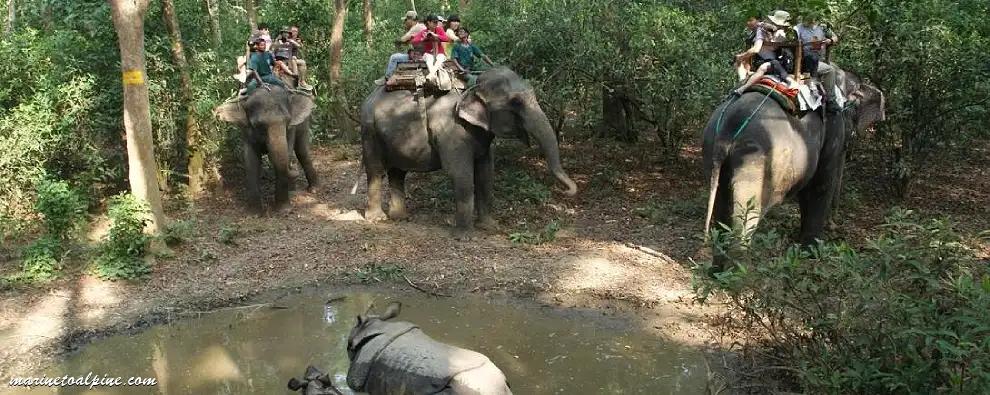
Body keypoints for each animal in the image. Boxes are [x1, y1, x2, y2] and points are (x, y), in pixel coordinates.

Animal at [216, 84, 318, 213]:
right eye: (258, 125)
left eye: (288, 121)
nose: (294, 169)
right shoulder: (245, 131)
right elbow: (251, 160)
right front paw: (255, 212)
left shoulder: (291, 129)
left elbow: (287, 152)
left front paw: (284, 210)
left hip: (304, 122)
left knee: (302, 151)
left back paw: (312, 189)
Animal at [360, 67, 576, 238]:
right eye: (515, 102)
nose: (567, 191)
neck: (472, 86)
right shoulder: (451, 129)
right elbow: (460, 173)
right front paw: (465, 237)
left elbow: (486, 173)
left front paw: (489, 227)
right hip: (369, 131)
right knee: (376, 170)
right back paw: (377, 219)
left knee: (398, 172)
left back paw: (400, 217)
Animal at [700, 68, 888, 266]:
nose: (834, 225)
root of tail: (725, 134)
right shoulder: (833, 129)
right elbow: (820, 185)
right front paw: (812, 252)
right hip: (754, 161)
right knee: (747, 214)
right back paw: (739, 270)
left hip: (712, 151)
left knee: (722, 206)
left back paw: (717, 269)